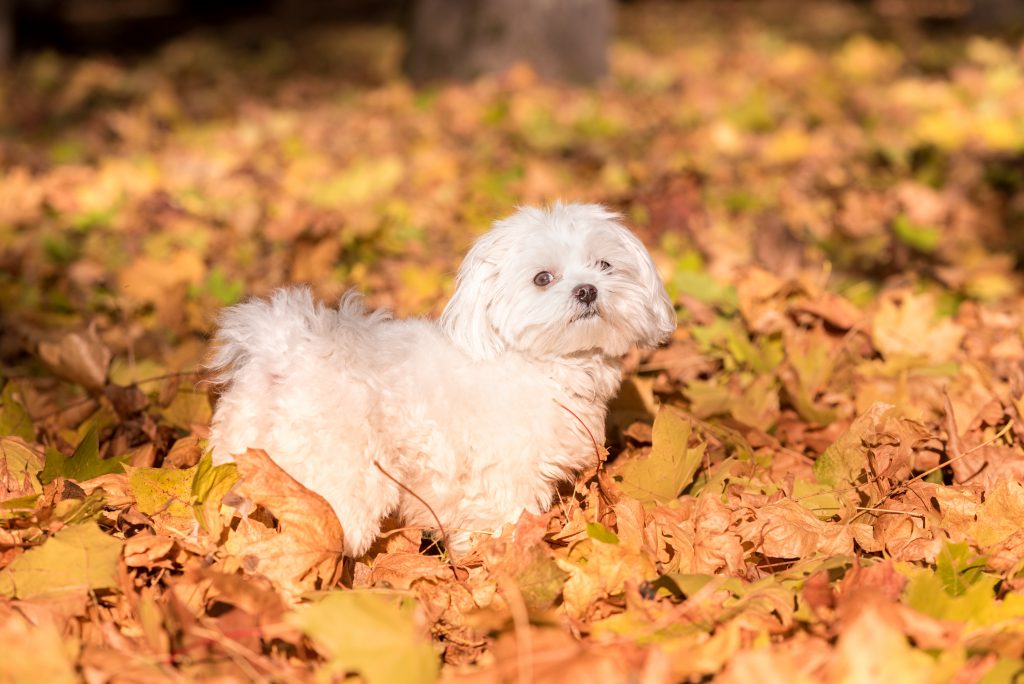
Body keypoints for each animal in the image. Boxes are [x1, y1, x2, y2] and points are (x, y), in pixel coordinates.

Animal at [208, 202, 675, 557]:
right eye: (543, 278)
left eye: (604, 264)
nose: (588, 289)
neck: (540, 363)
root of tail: (283, 350)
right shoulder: (504, 472)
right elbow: (504, 521)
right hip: (344, 475)